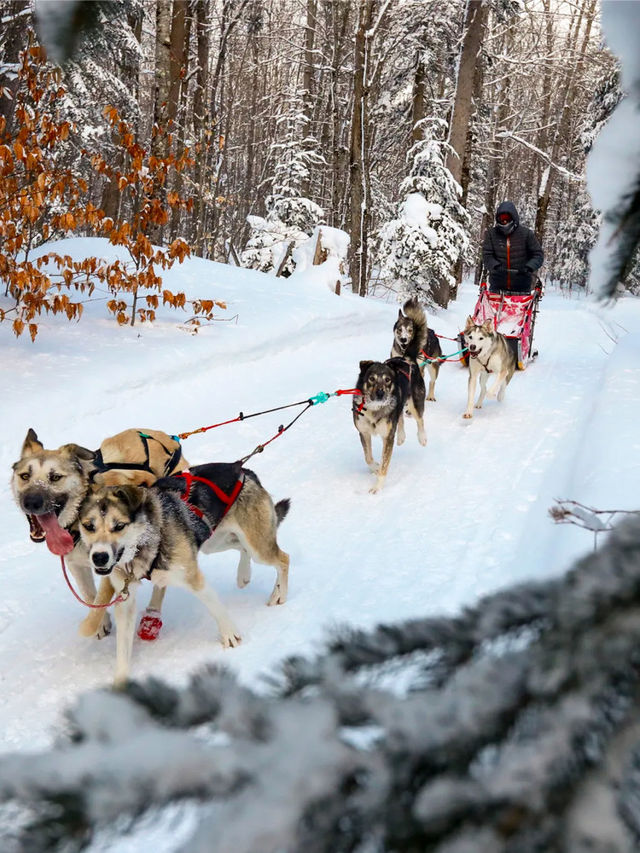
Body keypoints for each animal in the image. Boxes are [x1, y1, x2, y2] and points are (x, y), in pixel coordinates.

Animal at [11, 430, 189, 636]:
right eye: (25, 476)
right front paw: (101, 623)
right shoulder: (75, 564)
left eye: (55, 477)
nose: (31, 502)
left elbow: (101, 599)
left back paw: (152, 616)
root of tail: (165, 437)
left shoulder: (113, 563)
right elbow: (90, 596)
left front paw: (90, 625)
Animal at [76, 462, 292, 684]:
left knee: (283, 559)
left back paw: (279, 594)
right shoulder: (125, 601)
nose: (99, 557)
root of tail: (244, 470)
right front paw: (121, 682)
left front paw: (230, 635)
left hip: (258, 548)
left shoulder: (193, 579)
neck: (143, 544)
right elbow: (122, 648)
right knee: (242, 548)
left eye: (119, 526)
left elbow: (216, 608)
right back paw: (244, 575)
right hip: (215, 542)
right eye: (88, 526)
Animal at [352, 356, 428, 492]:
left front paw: (377, 487)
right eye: (372, 378)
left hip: (415, 403)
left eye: (387, 380)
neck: (374, 409)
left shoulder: (387, 437)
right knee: (400, 417)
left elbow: (384, 464)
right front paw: (376, 467)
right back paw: (401, 436)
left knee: (420, 420)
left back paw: (422, 437)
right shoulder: (364, 433)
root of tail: (405, 358)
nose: (380, 393)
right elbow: (368, 458)